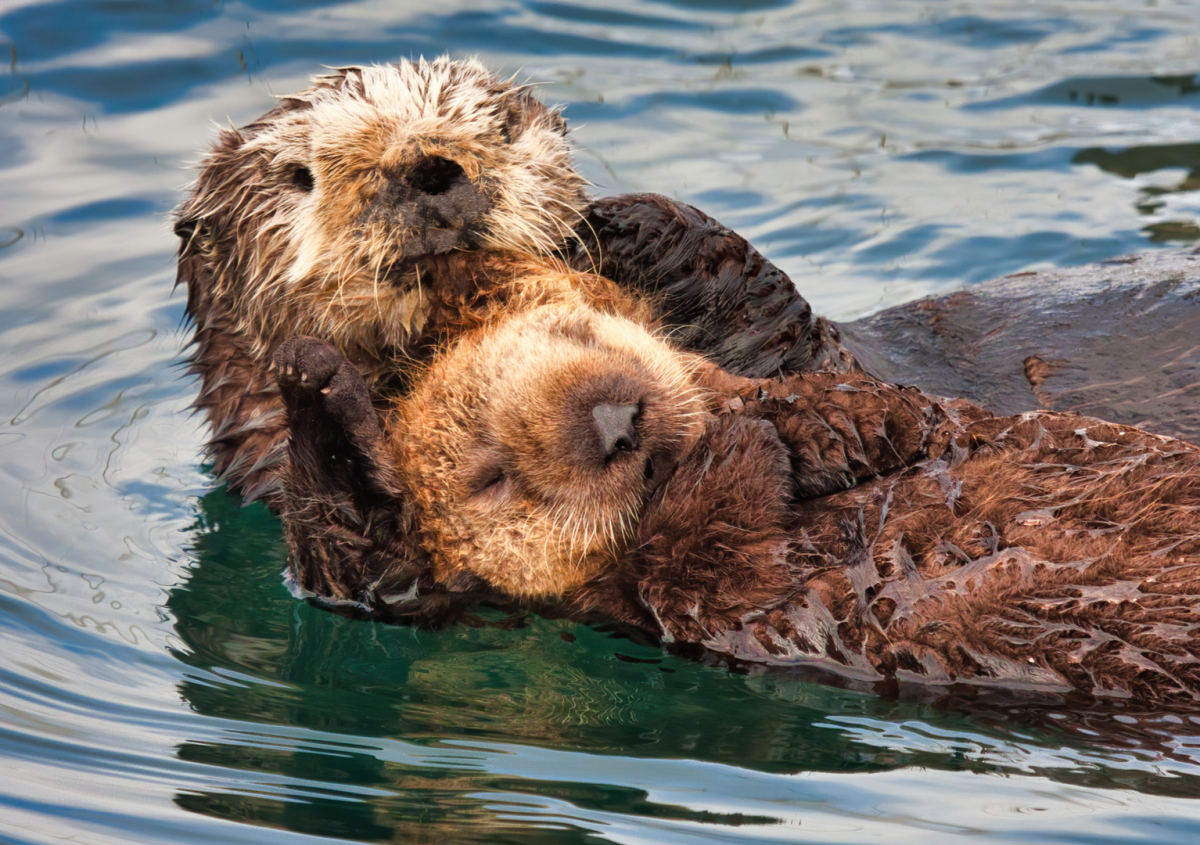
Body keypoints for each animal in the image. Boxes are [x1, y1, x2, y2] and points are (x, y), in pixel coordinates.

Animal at [270, 300, 1200, 710]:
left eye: (576, 333)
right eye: (491, 476)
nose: (615, 419)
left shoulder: (939, 418)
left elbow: (900, 410)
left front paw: (823, 423)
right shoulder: (701, 602)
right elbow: (702, 557)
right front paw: (318, 393)